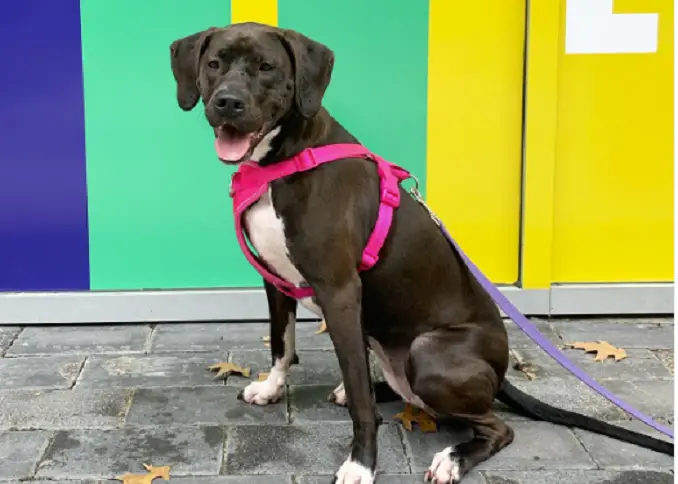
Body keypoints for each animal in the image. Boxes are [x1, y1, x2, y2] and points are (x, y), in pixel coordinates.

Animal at [170, 21, 676, 484]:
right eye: (214, 64)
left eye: (266, 68)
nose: (227, 103)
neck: (284, 159)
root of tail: (499, 372)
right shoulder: (274, 281)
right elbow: (282, 343)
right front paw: (272, 388)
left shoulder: (339, 291)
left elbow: (360, 403)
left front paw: (361, 465)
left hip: (428, 352)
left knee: (495, 426)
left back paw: (452, 458)